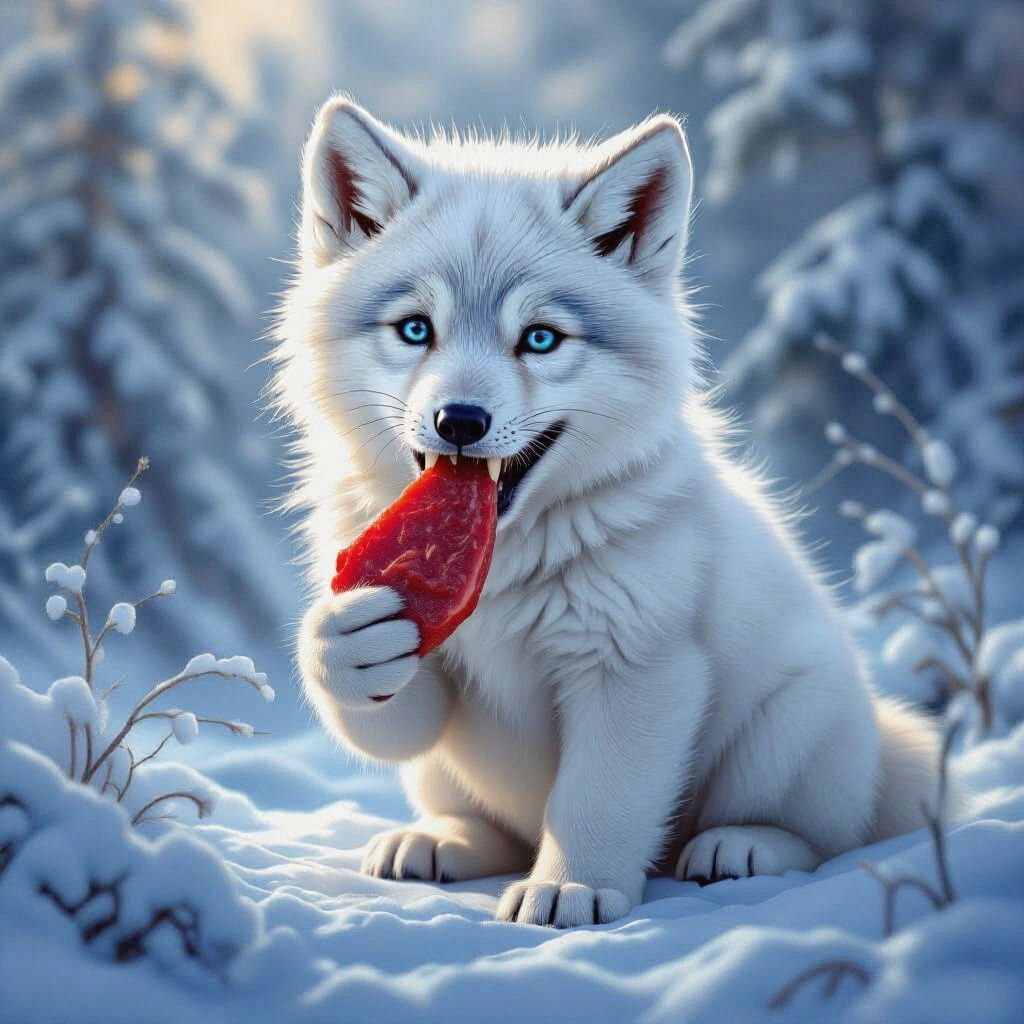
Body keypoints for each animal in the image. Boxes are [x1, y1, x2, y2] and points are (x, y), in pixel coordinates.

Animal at [276, 97, 941, 927]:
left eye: (539, 339)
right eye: (415, 329)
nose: (458, 420)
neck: (506, 565)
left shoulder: (638, 672)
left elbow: (597, 803)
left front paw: (571, 890)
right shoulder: (437, 671)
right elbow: (388, 711)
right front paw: (345, 644)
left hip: (788, 729)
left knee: (822, 833)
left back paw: (743, 847)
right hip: (442, 776)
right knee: (491, 827)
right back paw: (441, 842)